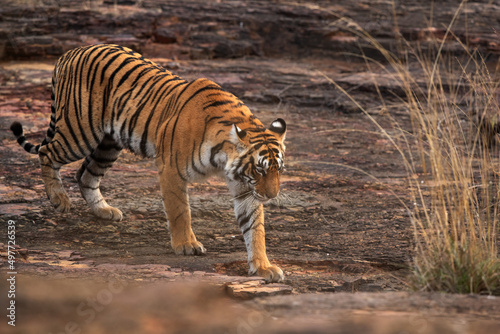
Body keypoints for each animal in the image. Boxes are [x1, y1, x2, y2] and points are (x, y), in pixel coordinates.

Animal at [10, 42, 286, 282]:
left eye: (278, 171)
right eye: (259, 169)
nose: (271, 196)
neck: (222, 156)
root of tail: (70, 52)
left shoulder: (244, 186)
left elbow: (254, 227)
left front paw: (264, 266)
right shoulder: (172, 170)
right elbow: (180, 211)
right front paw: (186, 245)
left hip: (108, 143)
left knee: (85, 175)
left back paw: (104, 210)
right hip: (79, 131)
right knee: (47, 152)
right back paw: (59, 199)